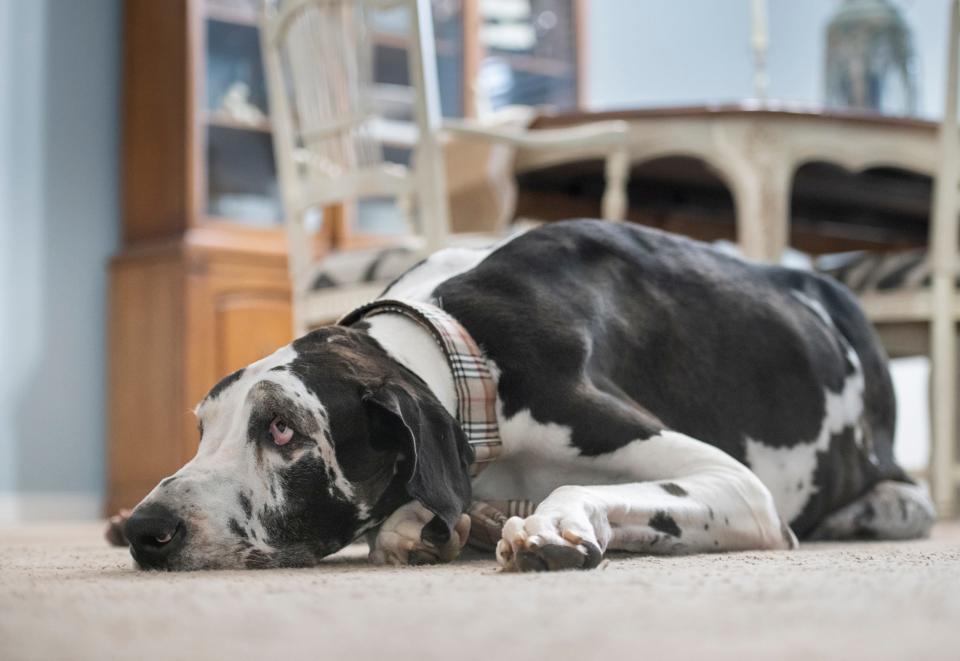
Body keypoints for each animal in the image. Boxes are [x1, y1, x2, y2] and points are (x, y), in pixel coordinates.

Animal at [122, 219, 936, 568]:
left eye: (284, 429)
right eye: (203, 427)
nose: (142, 529)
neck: (465, 359)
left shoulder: (739, 488)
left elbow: (574, 487)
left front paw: (550, 524)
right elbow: (407, 519)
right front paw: (438, 523)